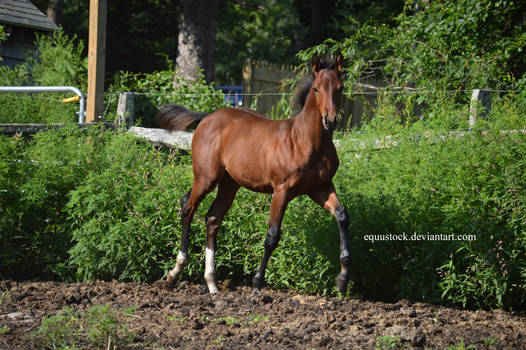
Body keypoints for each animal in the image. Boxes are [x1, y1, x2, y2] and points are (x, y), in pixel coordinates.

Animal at [159, 53, 352, 294]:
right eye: (316, 88)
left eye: (340, 87)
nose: (330, 120)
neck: (306, 141)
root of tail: (207, 117)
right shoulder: (282, 190)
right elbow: (272, 235)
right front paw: (257, 283)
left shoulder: (320, 188)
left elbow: (342, 215)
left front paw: (342, 279)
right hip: (206, 177)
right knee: (188, 207)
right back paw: (174, 273)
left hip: (229, 183)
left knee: (212, 218)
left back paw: (212, 283)